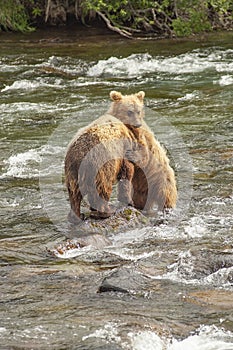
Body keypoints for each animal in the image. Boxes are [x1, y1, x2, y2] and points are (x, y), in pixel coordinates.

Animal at [63, 91, 177, 221]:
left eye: (138, 111)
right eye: (129, 111)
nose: (137, 124)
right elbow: (127, 171)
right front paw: (127, 200)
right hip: (98, 165)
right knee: (100, 189)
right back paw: (104, 211)